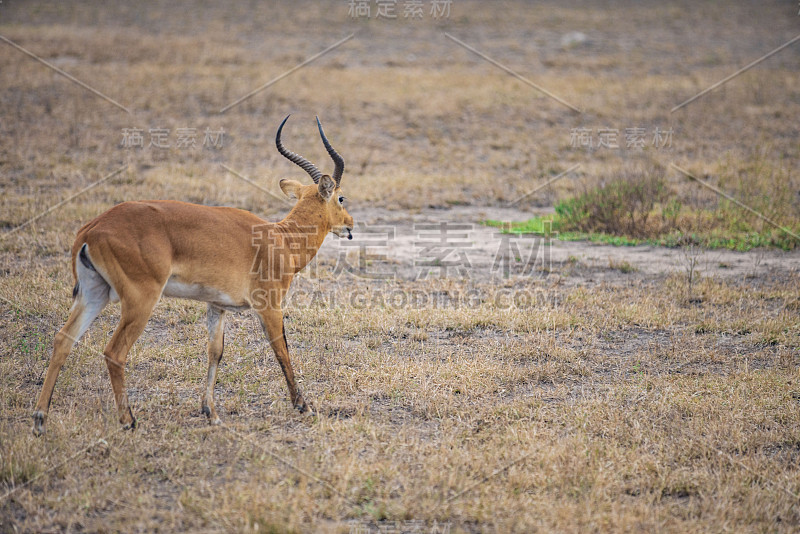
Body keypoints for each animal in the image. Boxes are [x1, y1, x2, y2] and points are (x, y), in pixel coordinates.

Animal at [33, 115, 354, 438]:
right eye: (341, 197)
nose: (350, 226)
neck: (283, 239)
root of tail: (92, 228)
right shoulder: (269, 305)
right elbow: (281, 348)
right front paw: (303, 405)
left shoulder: (217, 306)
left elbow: (215, 352)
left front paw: (211, 412)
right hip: (140, 300)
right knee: (114, 351)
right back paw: (128, 420)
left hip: (93, 294)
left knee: (62, 340)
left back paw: (39, 420)